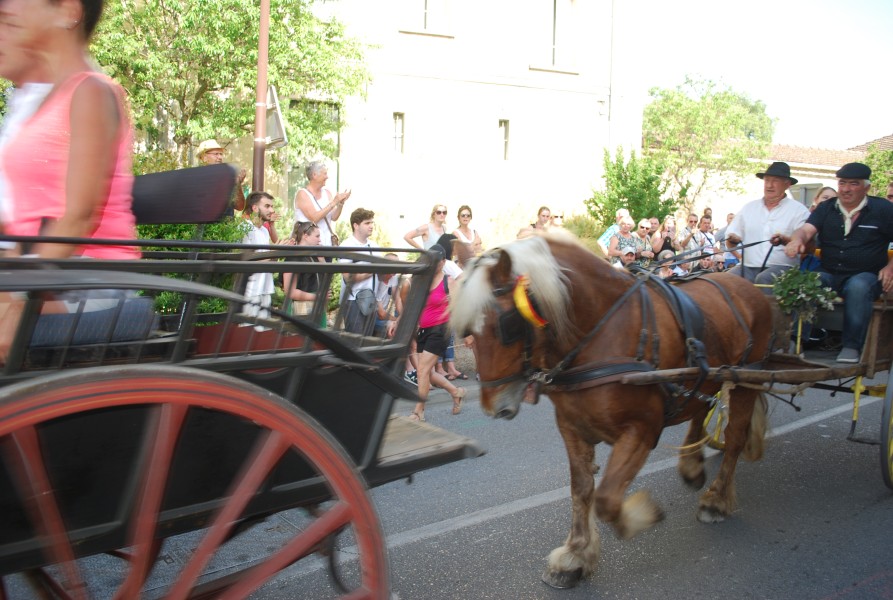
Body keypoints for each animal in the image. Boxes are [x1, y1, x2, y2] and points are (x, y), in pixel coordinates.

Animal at [450, 233, 772, 584]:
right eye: (468, 333)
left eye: (505, 325)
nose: (493, 407)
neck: (602, 332)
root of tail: (746, 284)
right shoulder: (572, 427)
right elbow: (581, 489)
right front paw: (575, 555)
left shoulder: (642, 430)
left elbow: (605, 499)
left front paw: (638, 516)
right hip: (705, 375)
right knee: (699, 411)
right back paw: (691, 466)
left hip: (746, 380)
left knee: (735, 437)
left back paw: (716, 500)